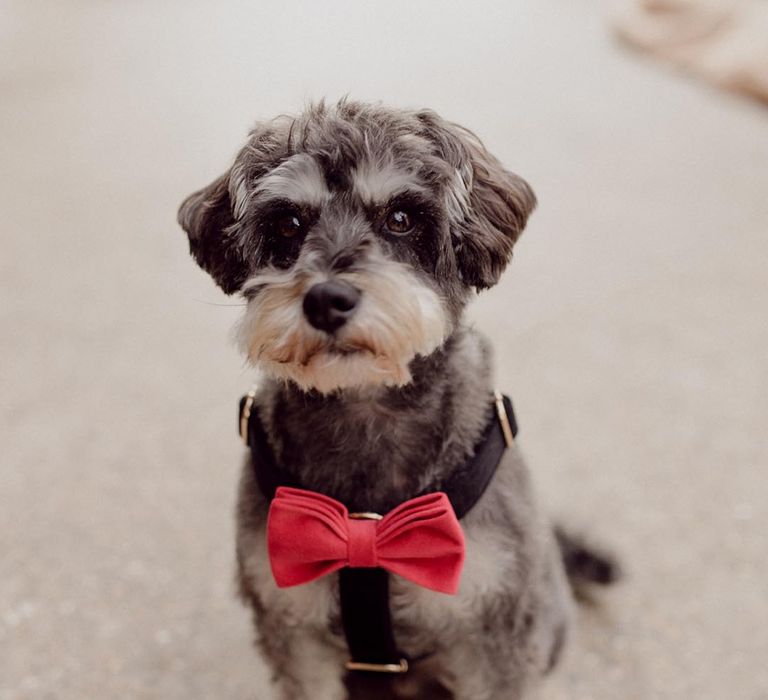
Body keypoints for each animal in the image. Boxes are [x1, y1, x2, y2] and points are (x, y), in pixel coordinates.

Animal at [177, 100, 616, 700]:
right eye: (288, 224)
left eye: (401, 218)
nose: (327, 299)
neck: (365, 410)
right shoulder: (293, 629)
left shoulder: (496, 637)